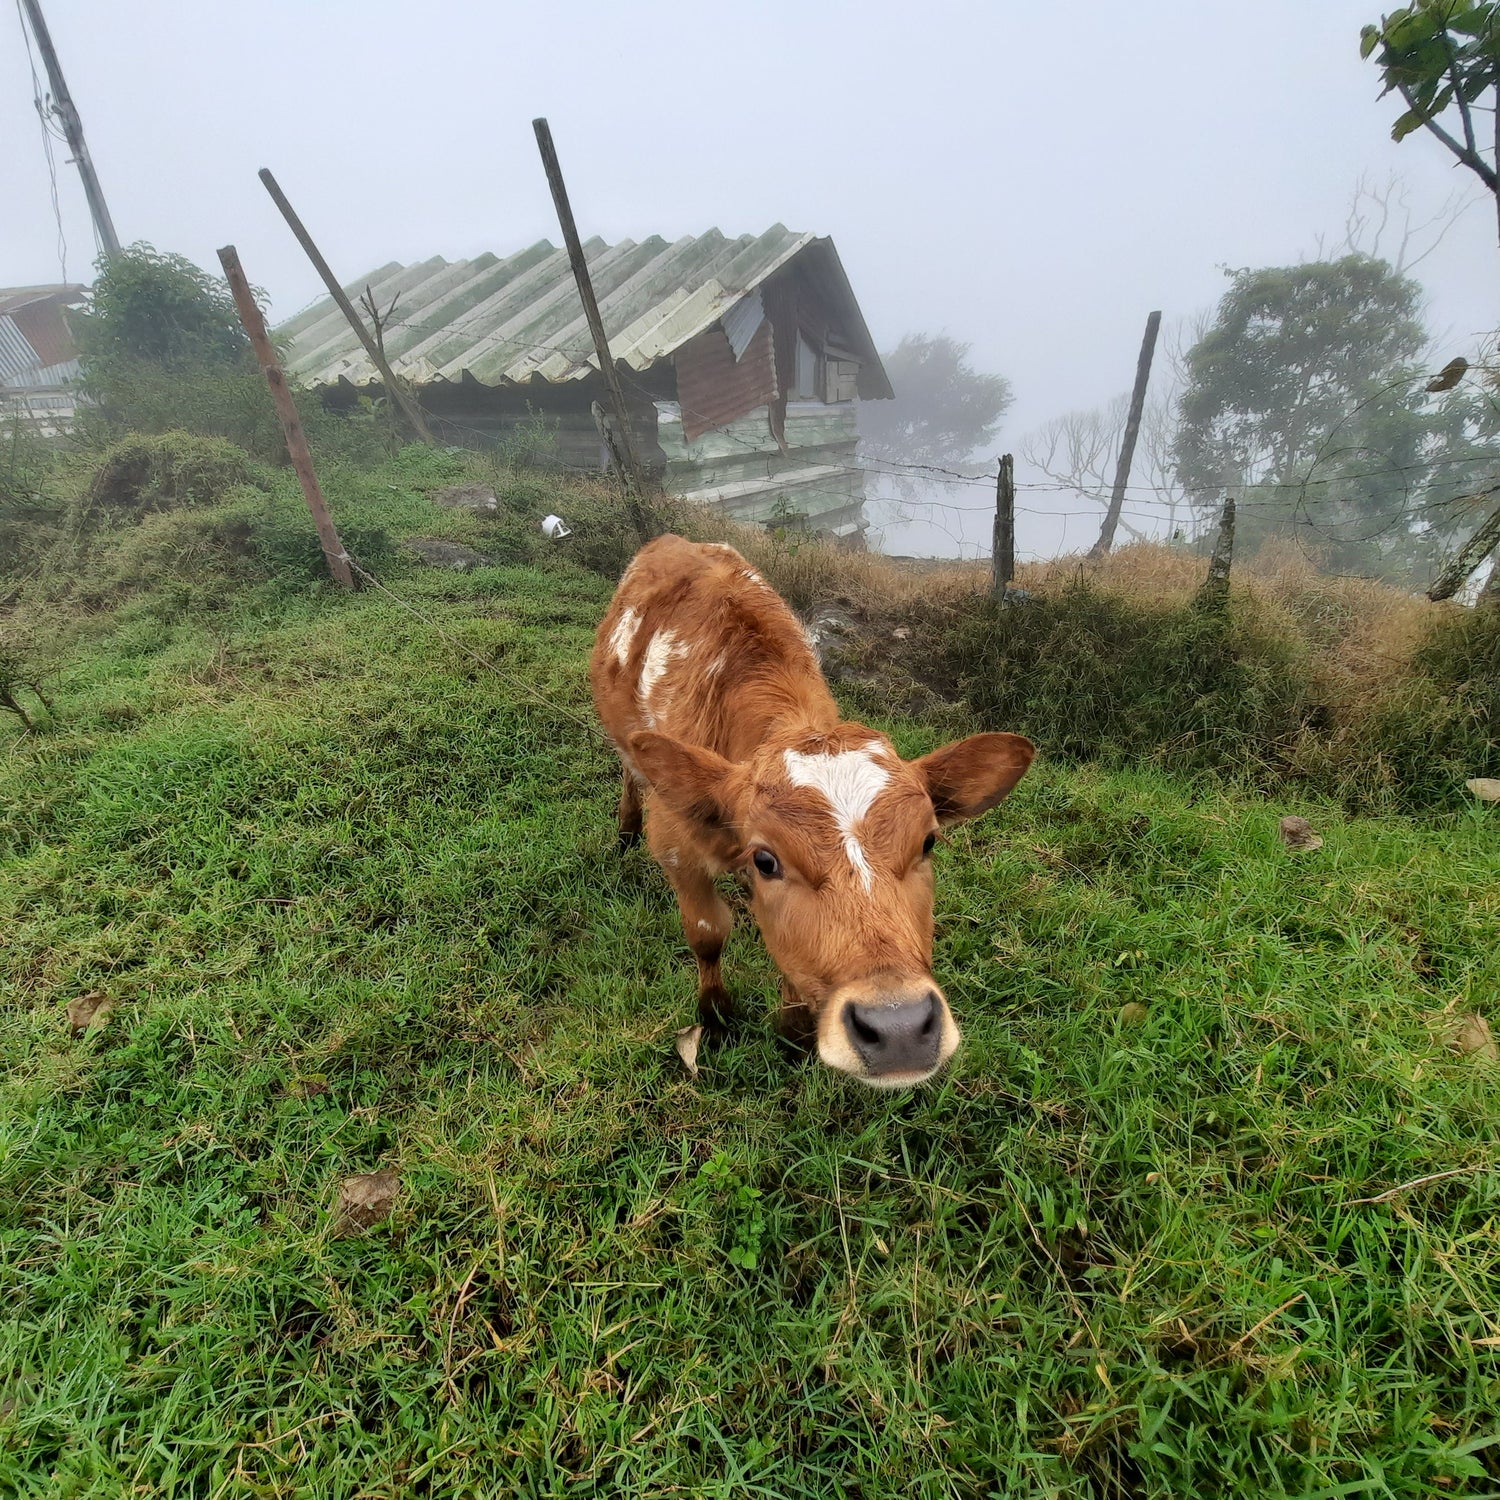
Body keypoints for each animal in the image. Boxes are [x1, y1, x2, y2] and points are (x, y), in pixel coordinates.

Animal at [585, 540, 1032, 1092]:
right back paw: (625, 830)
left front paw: (794, 1028)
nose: (900, 1028)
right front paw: (715, 1017)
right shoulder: (675, 843)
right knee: (629, 770)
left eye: (927, 842)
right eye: (766, 860)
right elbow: (708, 932)